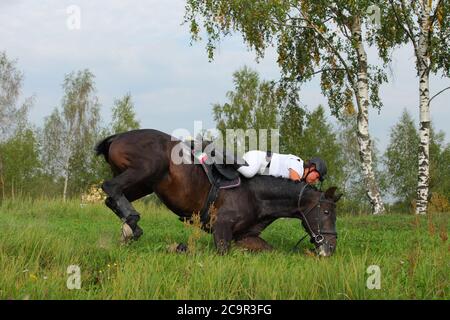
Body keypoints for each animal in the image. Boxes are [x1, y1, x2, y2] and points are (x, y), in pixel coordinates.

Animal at [96, 129, 342, 256]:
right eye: (327, 213)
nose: (330, 248)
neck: (258, 197)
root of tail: (118, 136)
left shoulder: (245, 237)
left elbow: (271, 251)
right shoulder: (221, 227)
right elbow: (222, 253)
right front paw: (179, 248)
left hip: (146, 183)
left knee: (112, 198)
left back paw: (129, 230)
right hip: (147, 169)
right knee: (111, 187)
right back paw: (132, 223)